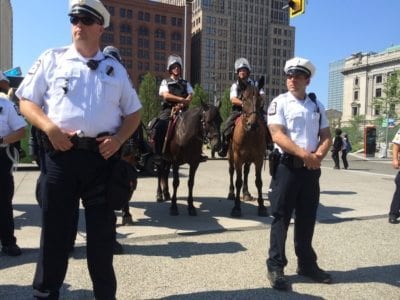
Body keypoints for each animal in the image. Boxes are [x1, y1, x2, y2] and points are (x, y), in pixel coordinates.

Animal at [228, 82, 268, 217]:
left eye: (260, 100)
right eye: (244, 99)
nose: (253, 124)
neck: (249, 135)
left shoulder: (258, 158)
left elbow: (259, 181)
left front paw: (261, 207)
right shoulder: (238, 157)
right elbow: (238, 181)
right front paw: (236, 207)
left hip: (249, 159)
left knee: (246, 172)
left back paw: (246, 193)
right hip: (231, 156)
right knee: (231, 172)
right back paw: (231, 193)